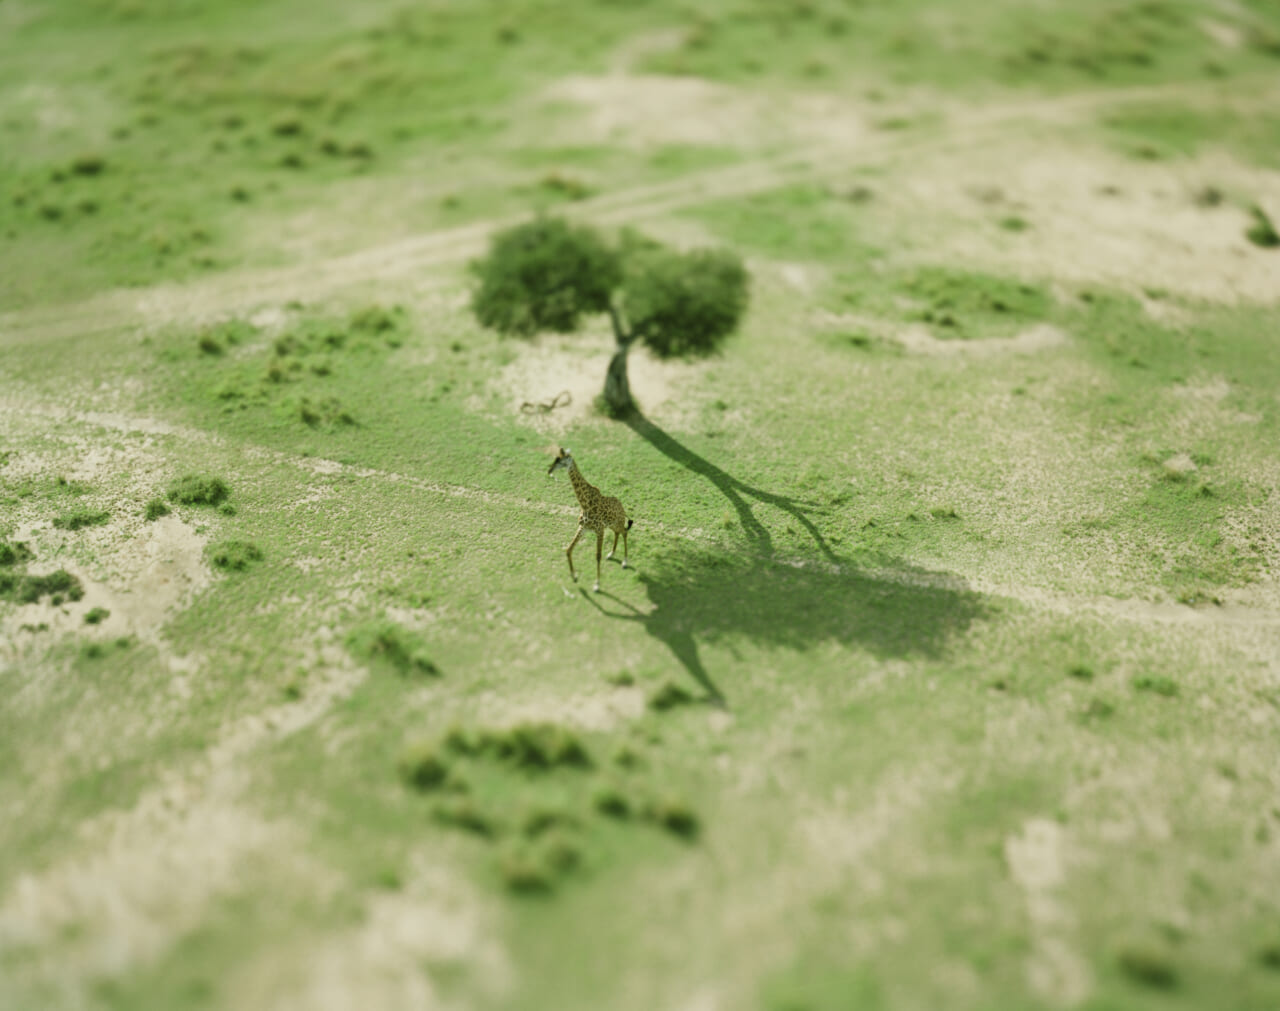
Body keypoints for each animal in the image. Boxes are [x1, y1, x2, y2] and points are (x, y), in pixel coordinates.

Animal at [547, 447, 632, 592]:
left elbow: (597, 556)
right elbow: (569, 549)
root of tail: (622, 507)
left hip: (618, 522)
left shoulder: (599, 531)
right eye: (555, 459)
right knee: (618, 533)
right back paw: (611, 554)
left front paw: (597, 584)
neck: (585, 504)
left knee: (625, 532)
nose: (549, 470)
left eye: (561, 461)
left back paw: (625, 562)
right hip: (612, 524)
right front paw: (574, 576)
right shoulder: (583, 527)